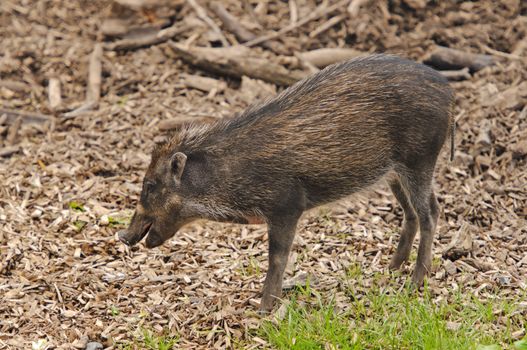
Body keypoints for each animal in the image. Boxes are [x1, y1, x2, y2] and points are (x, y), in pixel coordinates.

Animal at [117, 54, 456, 312]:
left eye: (150, 185)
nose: (122, 235)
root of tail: (449, 92)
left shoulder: (287, 207)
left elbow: (277, 257)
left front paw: (265, 308)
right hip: (394, 174)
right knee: (411, 213)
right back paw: (390, 268)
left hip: (420, 161)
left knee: (430, 212)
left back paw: (414, 282)